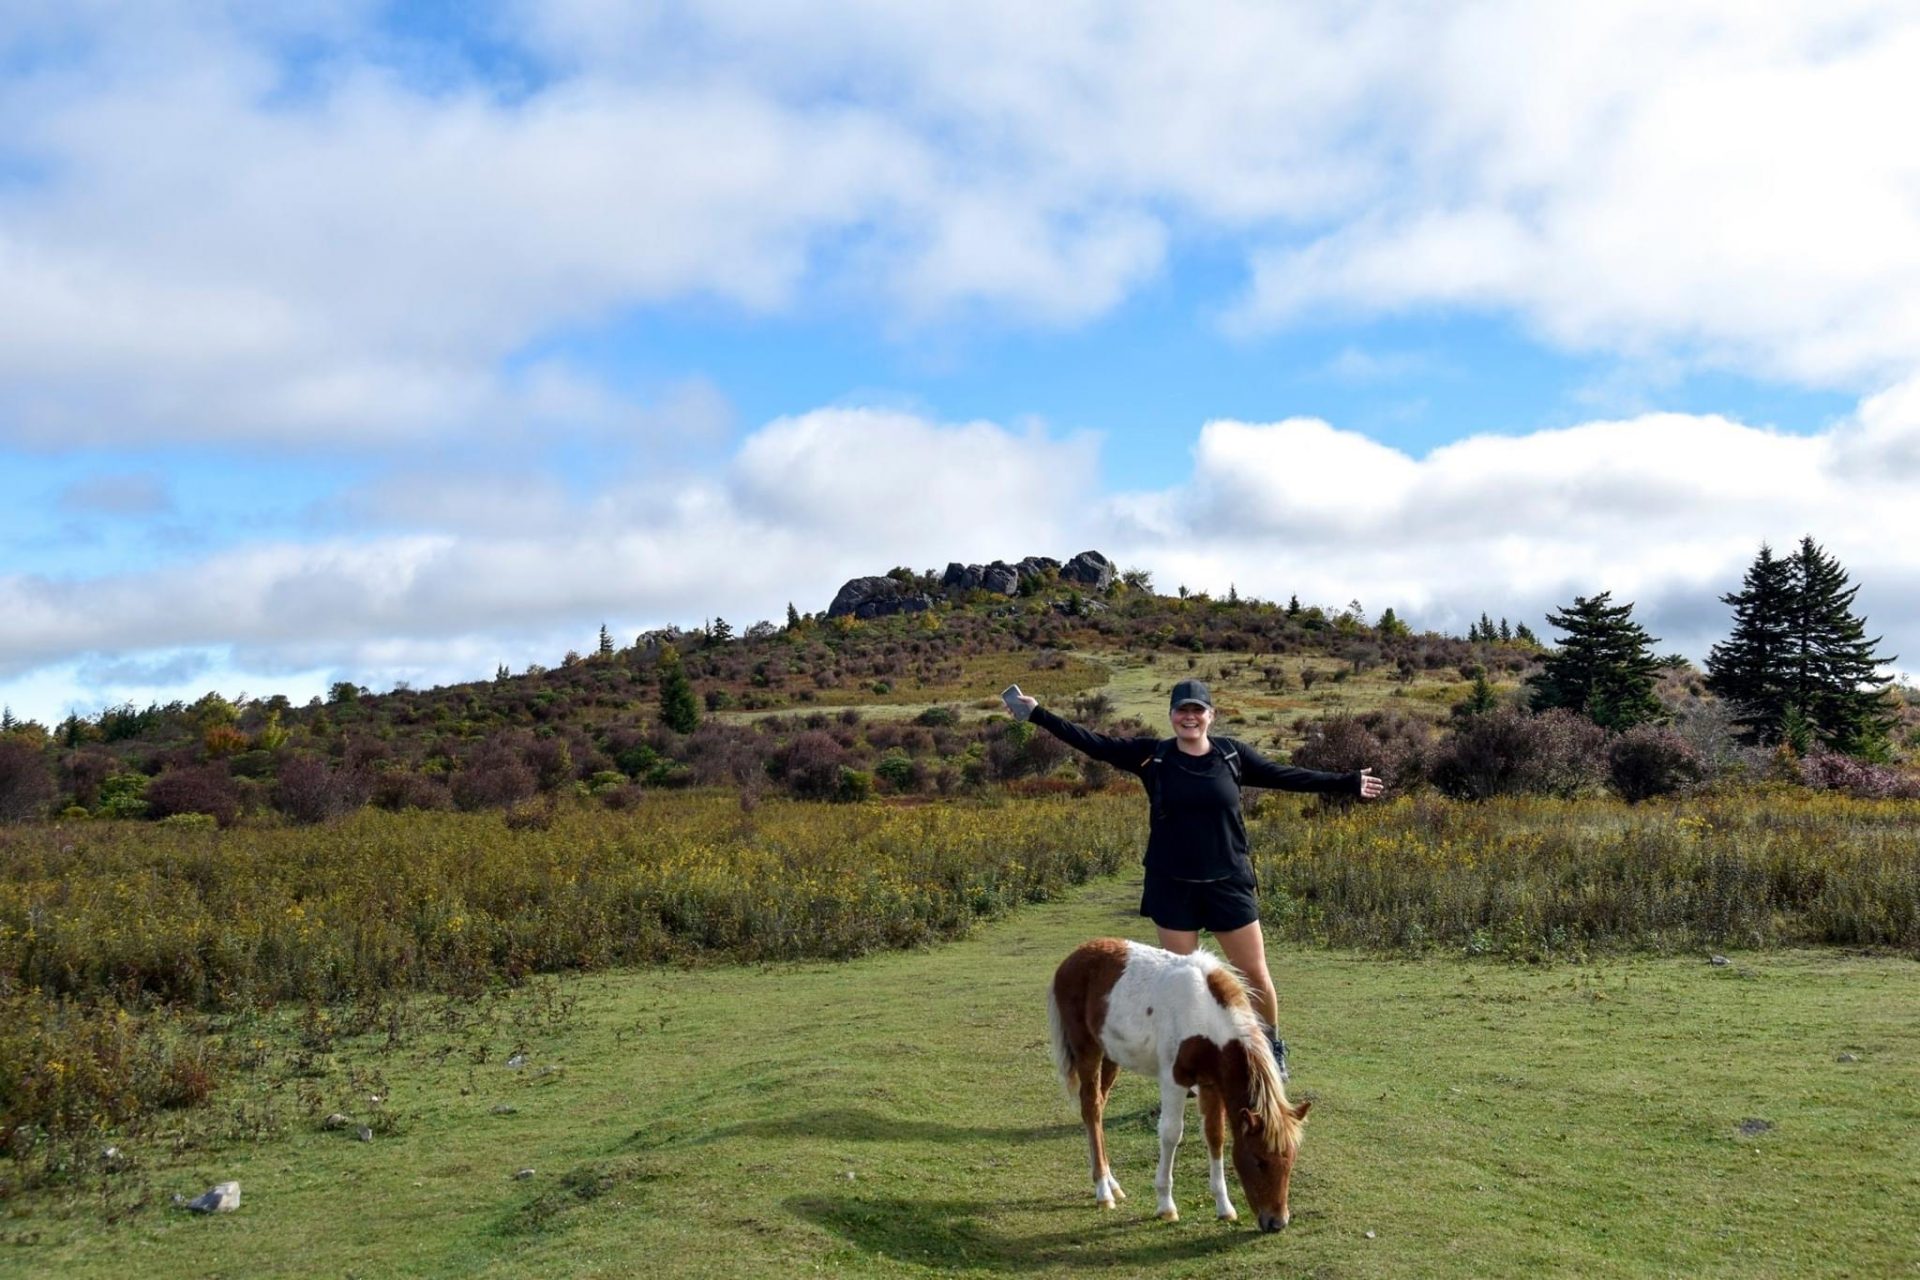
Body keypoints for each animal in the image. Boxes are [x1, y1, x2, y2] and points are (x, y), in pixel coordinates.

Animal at [1052, 940, 1305, 1228]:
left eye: (1290, 1161)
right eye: (1259, 1160)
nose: (1277, 1222)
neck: (1204, 1018)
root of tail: (1071, 959)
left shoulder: (1211, 1084)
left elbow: (1215, 1136)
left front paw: (1224, 1207)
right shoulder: (1174, 1081)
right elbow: (1171, 1133)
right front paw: (1166, 1205)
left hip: (1110, 1055)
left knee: (1098, 1108)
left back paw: (1112, 1184)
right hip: (1087, 1051)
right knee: (1091, 1108)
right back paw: (1103, 1192)